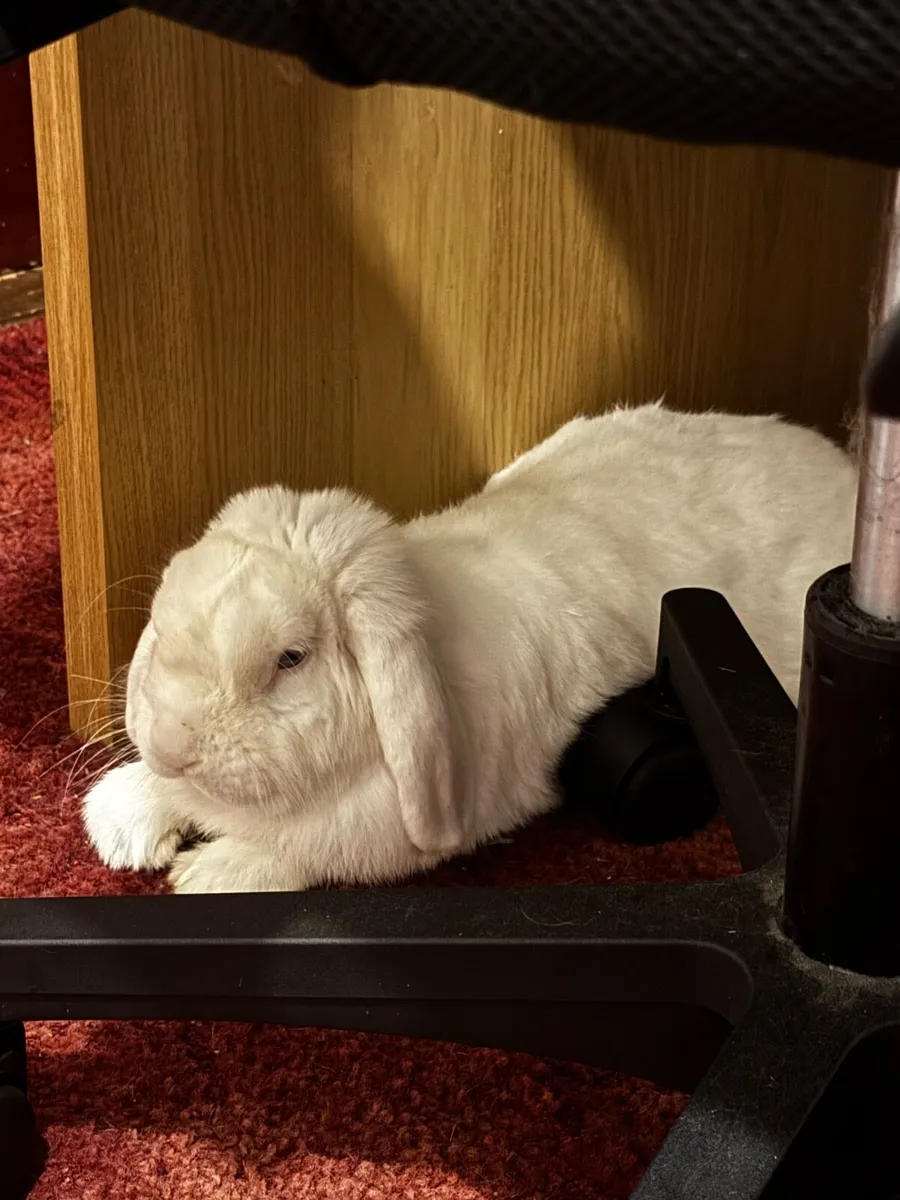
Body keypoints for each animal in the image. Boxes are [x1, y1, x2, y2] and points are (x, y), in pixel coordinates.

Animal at [82, 402, 858, 894]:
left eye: (290, 659)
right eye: (163, 628)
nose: (171, 745)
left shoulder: (375, 833)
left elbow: (304, 848)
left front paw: (208, 875)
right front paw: (121, 821)